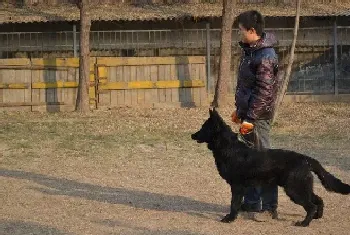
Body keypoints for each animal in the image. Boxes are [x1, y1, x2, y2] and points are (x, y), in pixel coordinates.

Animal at [191, 109, 350, 227]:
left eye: (203, 128)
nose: (192, 135)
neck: (228, 148)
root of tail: (306, 159)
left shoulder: (237, 186)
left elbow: (233, 204)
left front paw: (230, 218)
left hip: (294, 190)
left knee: (311, 205)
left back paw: (304, 223)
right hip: (301, 188)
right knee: (319, 200)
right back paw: (317, 217)